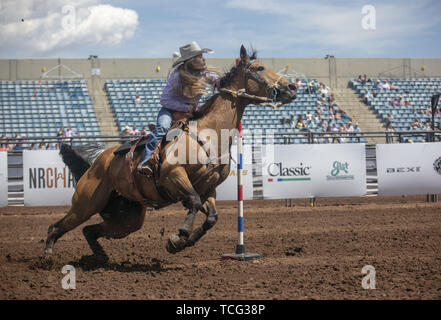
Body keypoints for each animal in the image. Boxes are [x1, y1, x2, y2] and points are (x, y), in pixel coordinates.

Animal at [44, 46, 296, 262]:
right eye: (259, 68)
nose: (292, 88)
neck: (208, 136)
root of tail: (96, 163)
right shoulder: (173, 175)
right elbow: (193, 201)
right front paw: (179, 236)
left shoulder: (207, 187)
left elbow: (211, 217)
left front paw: (183, 242)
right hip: (86, 204)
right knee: (57, 227)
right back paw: (47, 257)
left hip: (127, 217)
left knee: (90, 230)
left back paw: (100, 258)